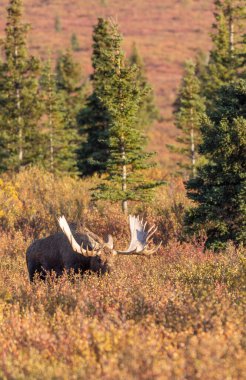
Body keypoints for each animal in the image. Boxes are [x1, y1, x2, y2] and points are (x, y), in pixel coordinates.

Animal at [26, 215, 160, 280]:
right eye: (99, 259)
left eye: (114, 259)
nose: (111, 272)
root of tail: (27, 250)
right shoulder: (69, 270)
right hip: (33, 274)